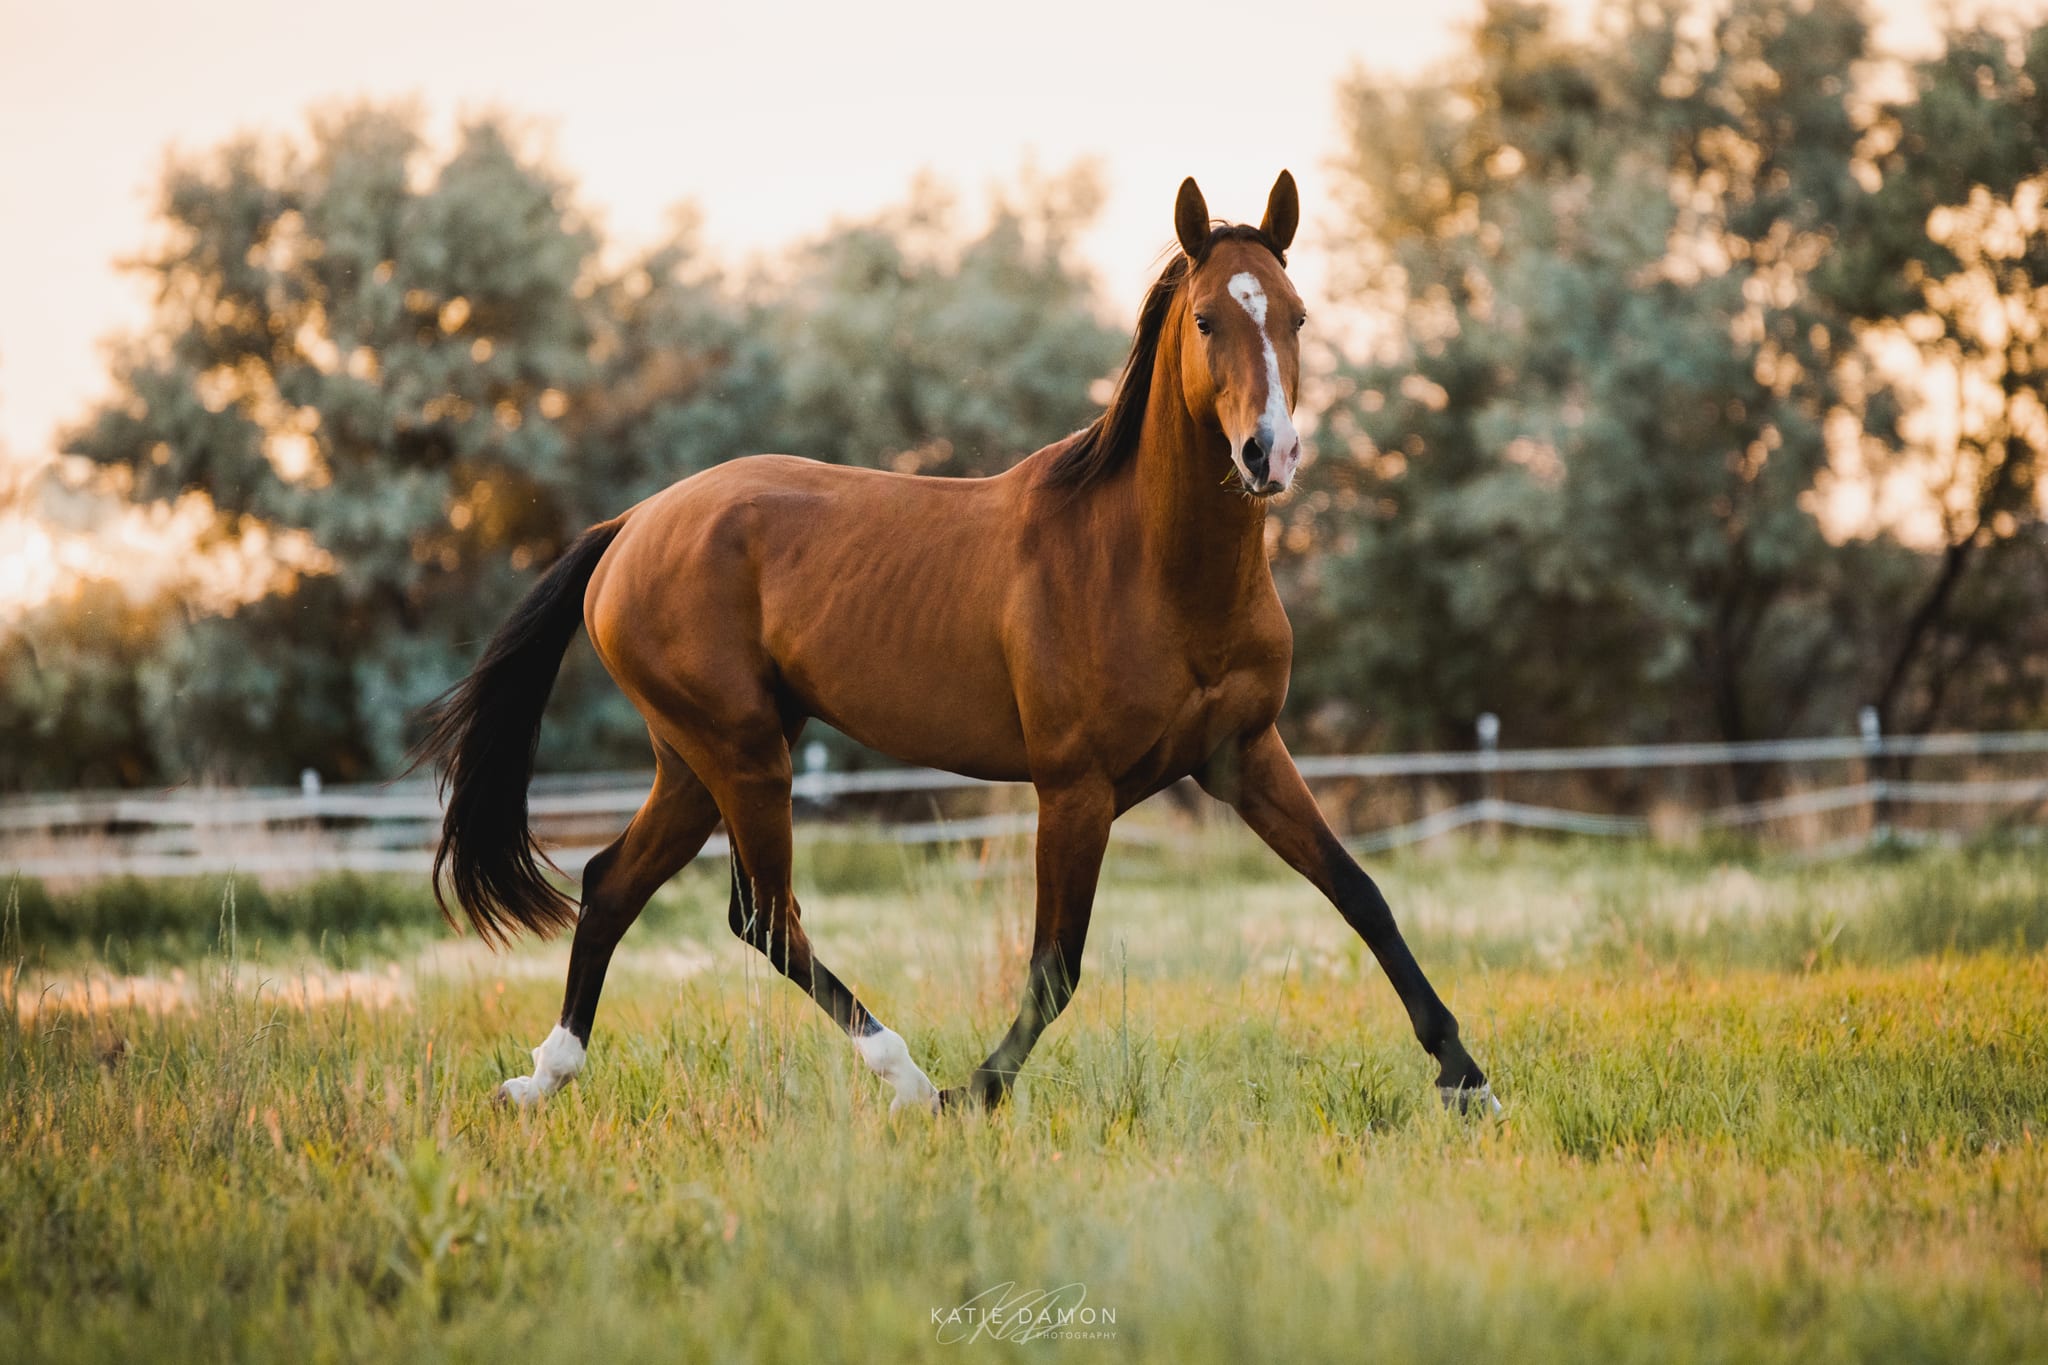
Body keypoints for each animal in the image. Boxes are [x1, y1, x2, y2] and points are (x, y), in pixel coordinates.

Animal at [414, 171, 1497, 1115]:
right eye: (1204, 321)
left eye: (1296, 316)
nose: (1267, 454)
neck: (1150, 569)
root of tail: (632, 525)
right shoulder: (1075, 789)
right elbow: (1054, 966)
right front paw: (971, 1096)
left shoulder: (1245, 755)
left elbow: (1362, 895)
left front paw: (1467, 1081)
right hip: (744, 756)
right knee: (763, 916)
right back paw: (902, 1077)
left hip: (695, 762)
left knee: (612, 887)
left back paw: (541, 1080)